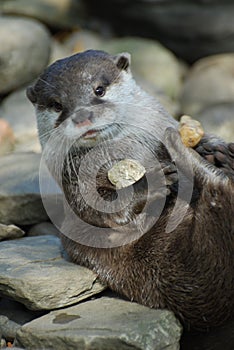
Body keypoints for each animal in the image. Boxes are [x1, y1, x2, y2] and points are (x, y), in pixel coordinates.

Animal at [26, 50, 233, 330]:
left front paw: (214, 147)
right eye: (57, 105)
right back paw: (178, 145)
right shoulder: (75, 186)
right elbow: (109, 211)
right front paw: (153, 180)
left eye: (99, 90)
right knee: (214, 193)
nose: (81, 116)